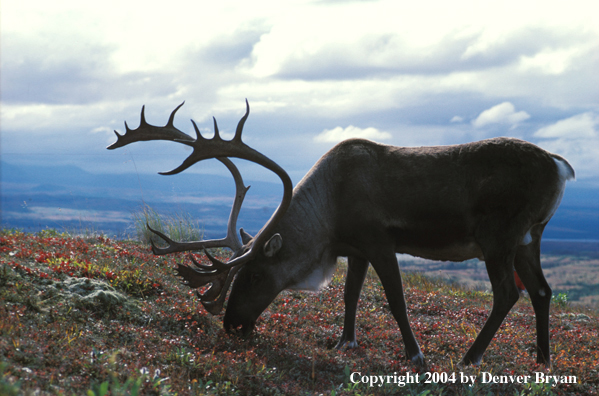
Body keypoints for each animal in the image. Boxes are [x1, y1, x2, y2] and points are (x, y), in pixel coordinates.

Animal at [109, 100, 576, 366]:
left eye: (256, 274)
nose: (232, 325)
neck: (329, 209)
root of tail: (560, 165)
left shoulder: (379, 242)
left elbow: (396, 301)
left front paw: (416, 354)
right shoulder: (356, 250)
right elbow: (350, 296)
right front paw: (344, 344)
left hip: (499, 238)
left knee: (508, 294)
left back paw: (470, 358)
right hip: (529, 239)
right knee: (542, 291)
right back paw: (543, 360)